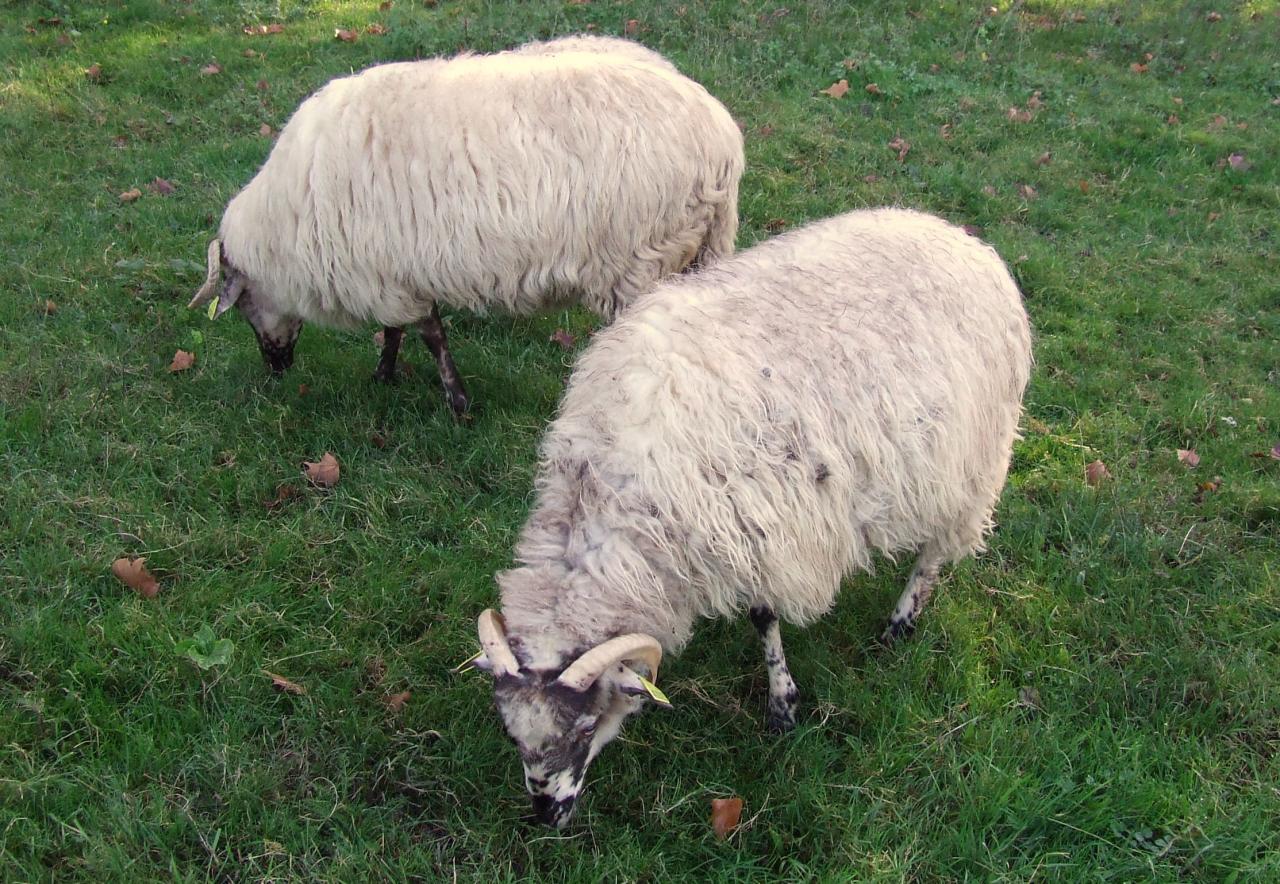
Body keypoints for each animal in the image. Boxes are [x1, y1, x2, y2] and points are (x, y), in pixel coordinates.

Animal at [183, 36, 742, 417]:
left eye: (242, 303)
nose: (275, 367)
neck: (287, 224)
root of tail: (720, 134)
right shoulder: (395, 269)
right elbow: (400, 331)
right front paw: (385, 378)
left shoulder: (385, 276)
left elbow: (428, 335)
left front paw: (455, 402)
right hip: (696, 250)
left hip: (639, 258)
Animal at [465, 209, 1034, 828]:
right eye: (510, 732)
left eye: (587, 725)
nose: (546, 815)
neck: (612, 489)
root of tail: (958, 236)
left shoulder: (761, 531)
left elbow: (764, 617)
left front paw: (783, 705)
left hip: (972, 457)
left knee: (935, 551)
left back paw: (900, 624)